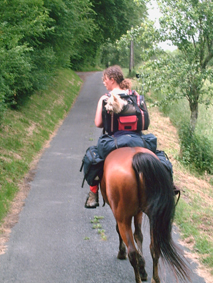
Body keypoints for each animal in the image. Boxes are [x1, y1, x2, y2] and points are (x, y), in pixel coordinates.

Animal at [99, 146, 190, 283]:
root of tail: (137, 158)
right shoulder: (139, 212)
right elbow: (139, 235)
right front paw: (143, 269)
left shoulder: (120, 214)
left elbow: (121, 231)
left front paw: (122, 253)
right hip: (154, 215)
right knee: (155, 247)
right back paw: (155, 278)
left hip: (123, 218)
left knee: (132, 252)